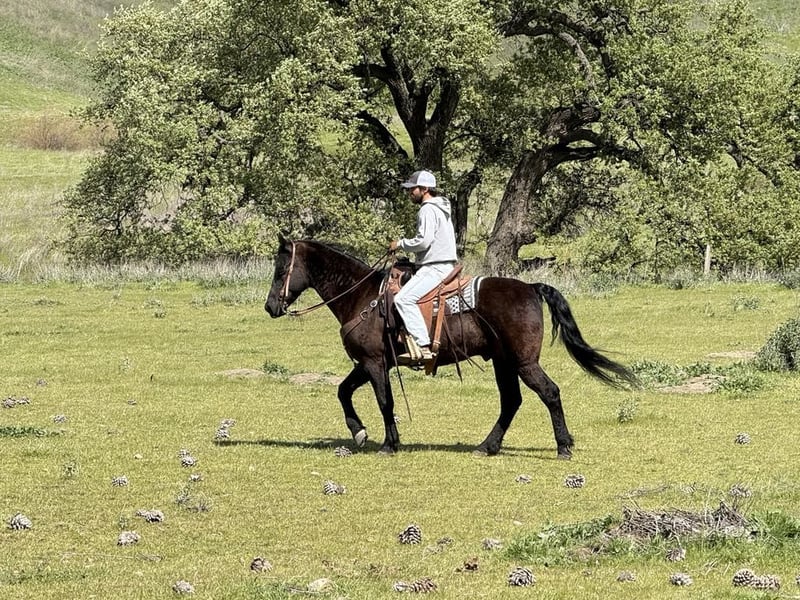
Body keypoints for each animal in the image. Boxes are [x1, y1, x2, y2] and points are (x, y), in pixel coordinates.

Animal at [264, 235, 637, 459]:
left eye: (281, 269)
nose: (270, 307)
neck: (361, 296)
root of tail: (531, 287)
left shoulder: (373, 362)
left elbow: (385, 402)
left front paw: (388, 444)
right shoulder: (367, 364)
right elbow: (343, 391)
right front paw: (359, 433)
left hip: (524, 362)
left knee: (549, 393)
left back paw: (562, 446)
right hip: (503, 362)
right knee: (511, 401)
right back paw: (488, 446)